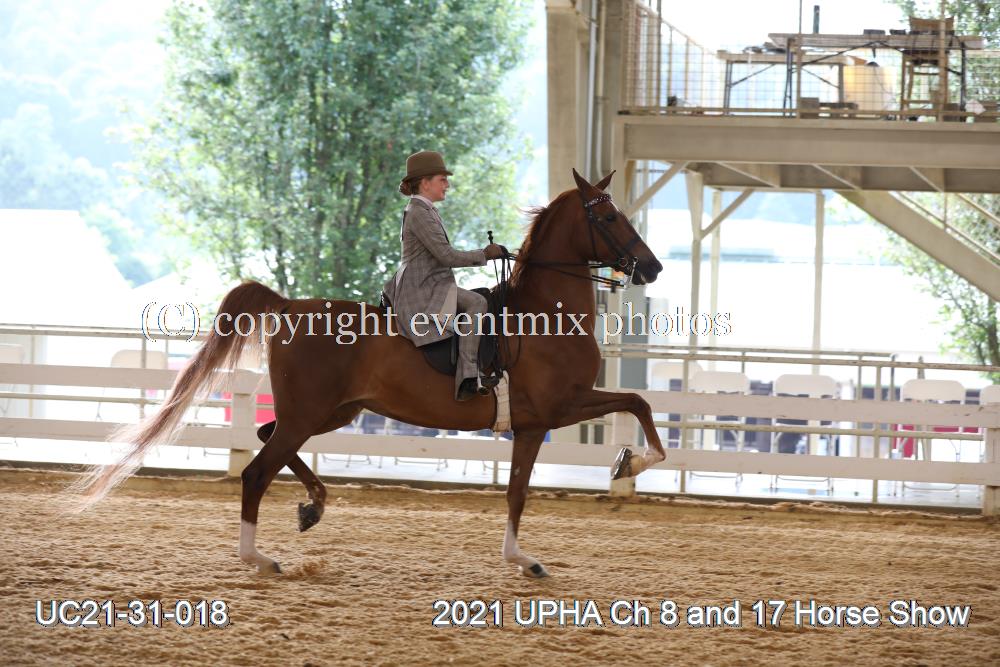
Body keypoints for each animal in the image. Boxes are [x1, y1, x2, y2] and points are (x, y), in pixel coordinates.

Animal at [76, 169, 665, 577]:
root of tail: (289, 306)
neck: (544, 315)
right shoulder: (550, 414)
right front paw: (622, 469)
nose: (653, 267)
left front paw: (625, 464)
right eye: (608, 218)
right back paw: (259, 558)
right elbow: (533, 481)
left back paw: (312, 507)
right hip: (310, 414)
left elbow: (632, 406)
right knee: (256, 472)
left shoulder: (550, 414)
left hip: (331, 412)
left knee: (268, 440)